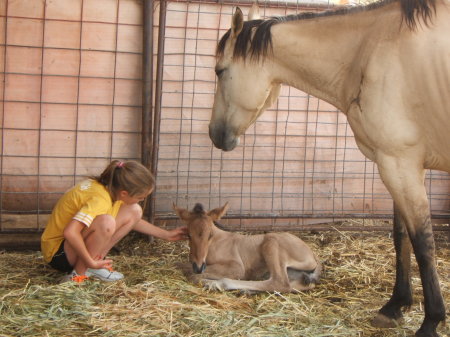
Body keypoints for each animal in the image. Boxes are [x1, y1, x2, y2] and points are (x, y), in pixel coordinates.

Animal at [173, 202, 324, 292]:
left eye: (210, 234)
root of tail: (312, 255)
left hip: (271, 242)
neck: (216, 243)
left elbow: (191, 274)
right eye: (188, 235)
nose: (198, 266)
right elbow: (181, 266)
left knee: (280, 283)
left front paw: (206, 280)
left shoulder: (236, 267)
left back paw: (215, 284)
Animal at [209, 0, 448, 336]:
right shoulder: (399, 165)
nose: (214, 134)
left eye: (220, 71)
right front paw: (395, 306)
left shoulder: (400, 164)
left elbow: (423, 245)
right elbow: (402, 238)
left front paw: (431, 321)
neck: (370, 50)